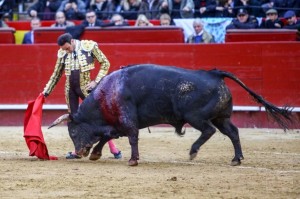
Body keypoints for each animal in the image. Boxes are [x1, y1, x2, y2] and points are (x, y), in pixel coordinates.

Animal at [48, 64, 292, 166]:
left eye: (72, 131)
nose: (78, 152)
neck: (106, 95)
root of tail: (214, 74)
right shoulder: (116, 124)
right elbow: (106, 137)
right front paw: (96, 154)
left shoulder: (127, 121)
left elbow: (132, 138)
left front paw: (133, 160)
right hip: (222, 117)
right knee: (233, 132)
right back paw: (236, 159)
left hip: (196, 117)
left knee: (209, 131)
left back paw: (193, 151)